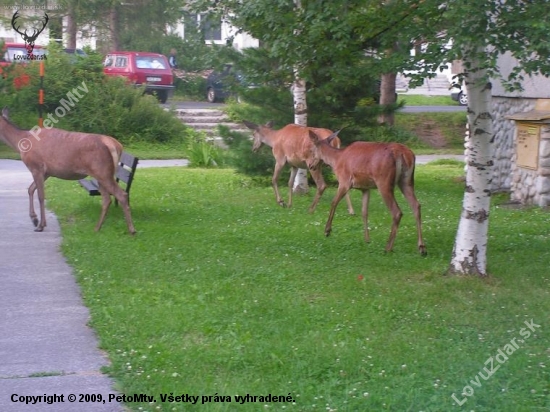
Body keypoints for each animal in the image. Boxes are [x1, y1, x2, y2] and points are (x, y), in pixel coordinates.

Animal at [0, 108, 137, 233]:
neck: (21, 143)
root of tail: (116, 145)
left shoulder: (36, 167)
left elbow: (40, 195)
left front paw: (40, 225)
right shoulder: (47, 172)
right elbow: (30, 189)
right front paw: (35, 219)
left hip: (103, 171)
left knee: (121, 194)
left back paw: (131, 230)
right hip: (102, 174)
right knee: (107, 199)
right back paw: (97, 228)